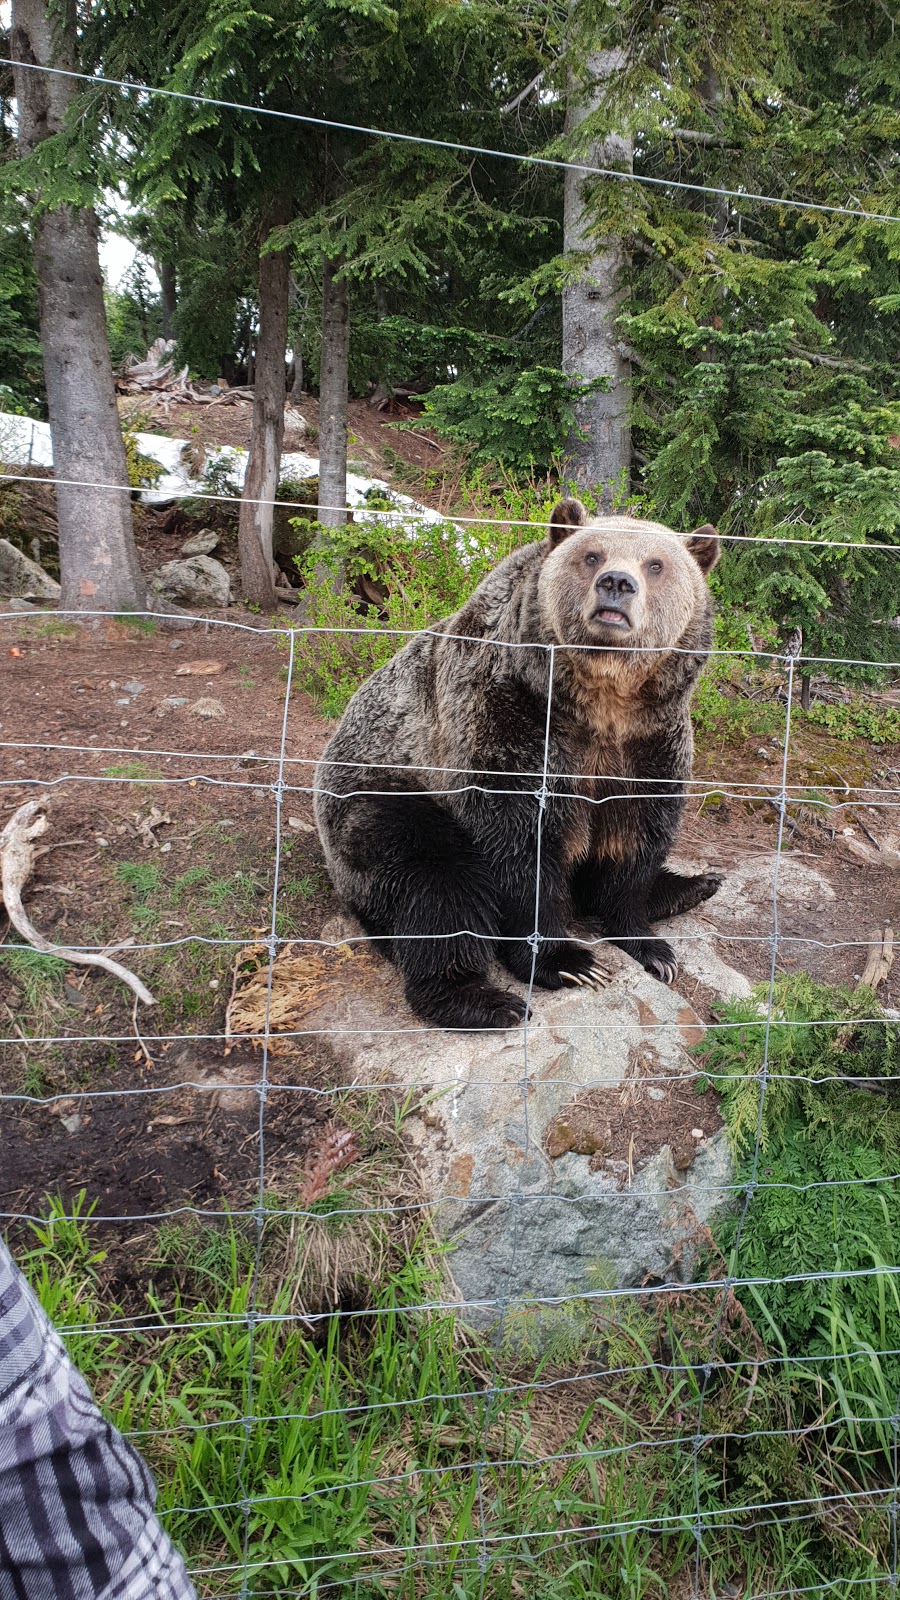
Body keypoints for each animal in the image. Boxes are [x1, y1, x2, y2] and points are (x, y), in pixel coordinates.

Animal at [312, 492, 717, 1030]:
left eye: (656, 564)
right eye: (592, 555)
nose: (616, 583)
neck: (602, 700)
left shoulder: (649, 743)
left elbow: (635, 837)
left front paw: (650, 946)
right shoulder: (509, 718)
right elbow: (522, 846)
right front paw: (570, 962)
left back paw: (695, 885)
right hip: (375, 800)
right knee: (436, 880)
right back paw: (479, 1000)